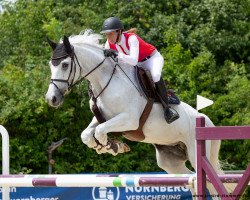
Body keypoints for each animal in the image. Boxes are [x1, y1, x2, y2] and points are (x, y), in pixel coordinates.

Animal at [45, 30, 229, 198]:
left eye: (64, 65)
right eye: (51, 65)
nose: (51, 99)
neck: (105, 81)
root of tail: (208, 121)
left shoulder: (129, 120)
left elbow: (100, 131)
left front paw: (110, 146)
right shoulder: (101, 118)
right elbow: (87, 134)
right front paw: (104, 146)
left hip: (195, 152)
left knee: (209, 182)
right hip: (170, 160)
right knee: (191, 178)